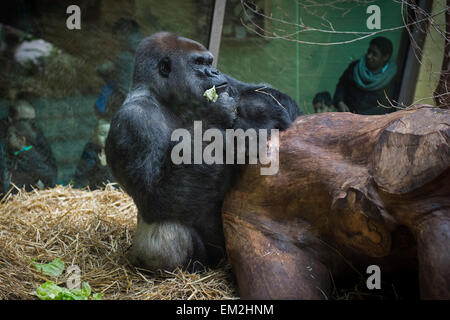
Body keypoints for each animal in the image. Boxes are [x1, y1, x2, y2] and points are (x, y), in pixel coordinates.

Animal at [103, 32, 298, 272]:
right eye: (198, 63)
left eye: (209, 62)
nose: (215, 72)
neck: (164, 98)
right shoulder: (133, 120)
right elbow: (154, 194)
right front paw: (217, 113)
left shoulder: (227, 83)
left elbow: (268, 94)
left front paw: (259, 113)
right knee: (163, 235)